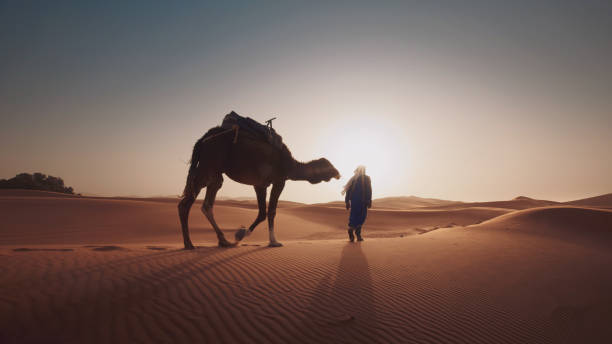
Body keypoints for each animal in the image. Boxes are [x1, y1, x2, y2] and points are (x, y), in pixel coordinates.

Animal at [178, 111, 340, 249]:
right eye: (329, 166)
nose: (338, 173)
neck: (290, 165)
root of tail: (203, 139)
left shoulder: (260, 184)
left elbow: (263, 212)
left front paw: (241, 235)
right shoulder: (278, 181)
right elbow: (270, 211)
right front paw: (271, 241)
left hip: (214, 172)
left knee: (206, 203)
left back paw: (223, 241)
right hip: (209, 165)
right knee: (186, 203)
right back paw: (190, 244)